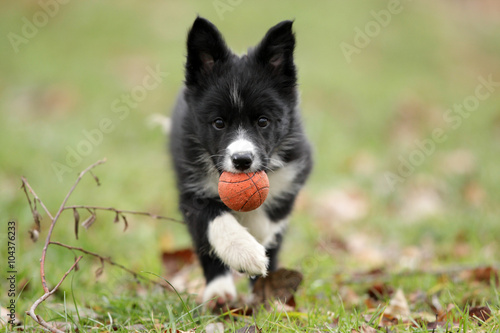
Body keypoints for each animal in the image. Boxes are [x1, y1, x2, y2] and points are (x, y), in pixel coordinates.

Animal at [171, 17, 312, 304]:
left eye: (263, 121)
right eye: (218, 123)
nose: (242, 160)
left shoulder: (296, 169)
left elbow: (273, 214)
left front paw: (256, 235)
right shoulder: (190, 189)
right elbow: (213, 219)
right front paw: (245, 253)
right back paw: (219, 293)